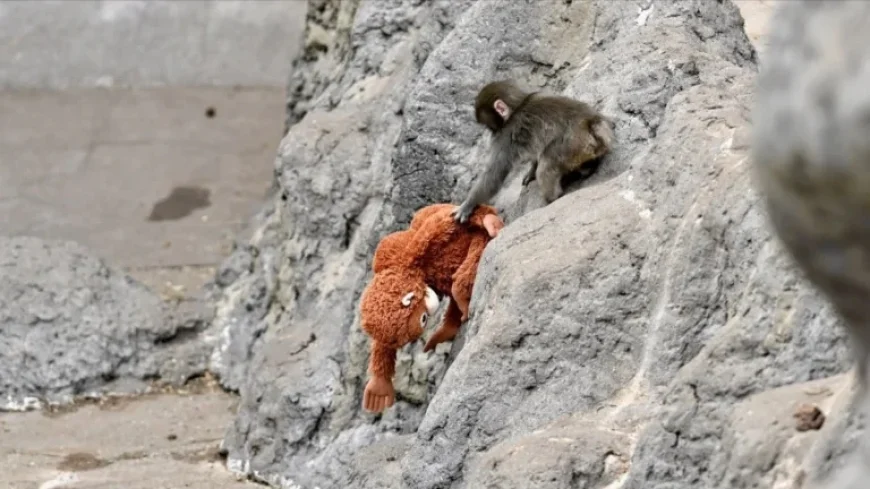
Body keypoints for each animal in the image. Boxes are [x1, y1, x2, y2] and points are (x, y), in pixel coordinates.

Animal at [452, 80, 615, 223]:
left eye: (489, 126)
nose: (490, 133)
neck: (518, 105)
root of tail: (591, 123)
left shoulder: (505, 134)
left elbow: (495, 173)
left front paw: (468, 204)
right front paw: (530, 172)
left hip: (570, 145)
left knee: (546, 167)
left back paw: (552, 198)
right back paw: (587, 168)